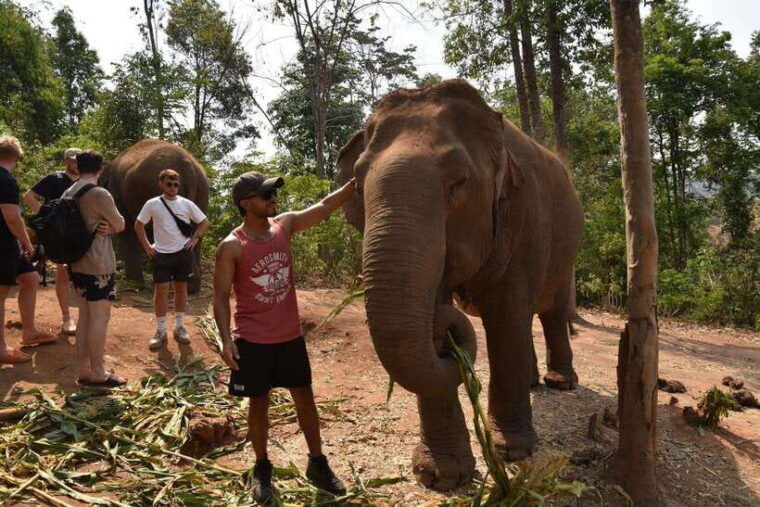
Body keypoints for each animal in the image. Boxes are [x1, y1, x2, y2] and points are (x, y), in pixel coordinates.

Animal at [101, 139, 209, 294]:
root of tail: (187, 165)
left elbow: (126, 227)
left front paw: (133, 284)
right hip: (202, 191)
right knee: (196, 232)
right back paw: (190, 288)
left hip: (153, 188)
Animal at [336, 79, 584, 490]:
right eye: (357, 185)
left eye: (458, 183)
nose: (447, 334)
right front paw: (441, 476)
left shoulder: (525, 216)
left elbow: (506, 315)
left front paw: (513, 452)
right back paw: (533, 383)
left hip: (567, 249)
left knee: (550, 311)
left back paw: (560, 383)